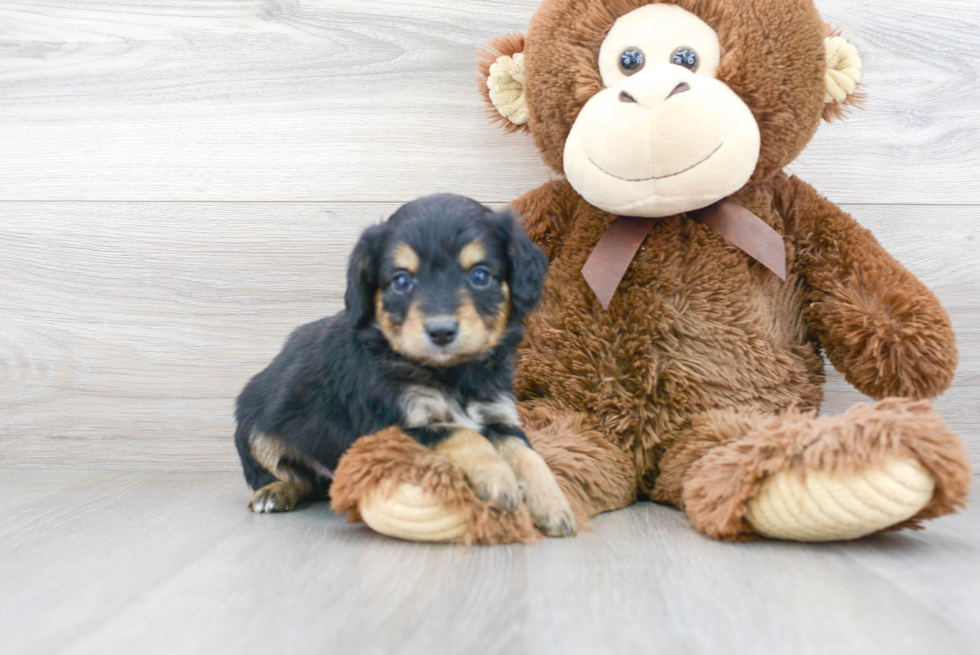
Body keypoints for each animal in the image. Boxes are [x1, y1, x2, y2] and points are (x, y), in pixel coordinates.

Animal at [234, 195, 580, 540]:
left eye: (480, 276)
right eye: (402, 281)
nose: (441, 331)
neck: (453, 374)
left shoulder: (499, 414)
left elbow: (526, 453)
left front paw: (553, 504)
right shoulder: (391, 426)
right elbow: (461, 434)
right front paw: (498, 478)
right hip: (252, 428)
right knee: (291, 477)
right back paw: (274, 492)